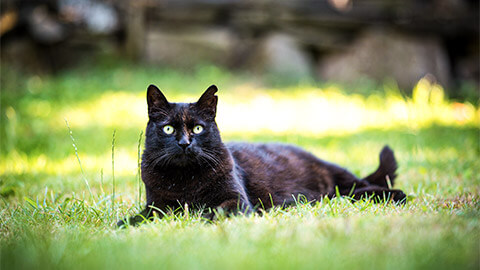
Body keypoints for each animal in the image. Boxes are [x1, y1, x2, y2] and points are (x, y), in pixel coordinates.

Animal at [117, 84, 404, 226]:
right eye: (168, 129)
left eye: (197, 128)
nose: (185, 143)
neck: (185, 179)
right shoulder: (157, 206)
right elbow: (144, 216)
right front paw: (126, 223)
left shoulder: (237, 200)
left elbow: (217, 210)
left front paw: (202, 218)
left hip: (338, 175)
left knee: (361, 186)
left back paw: (396, 195)